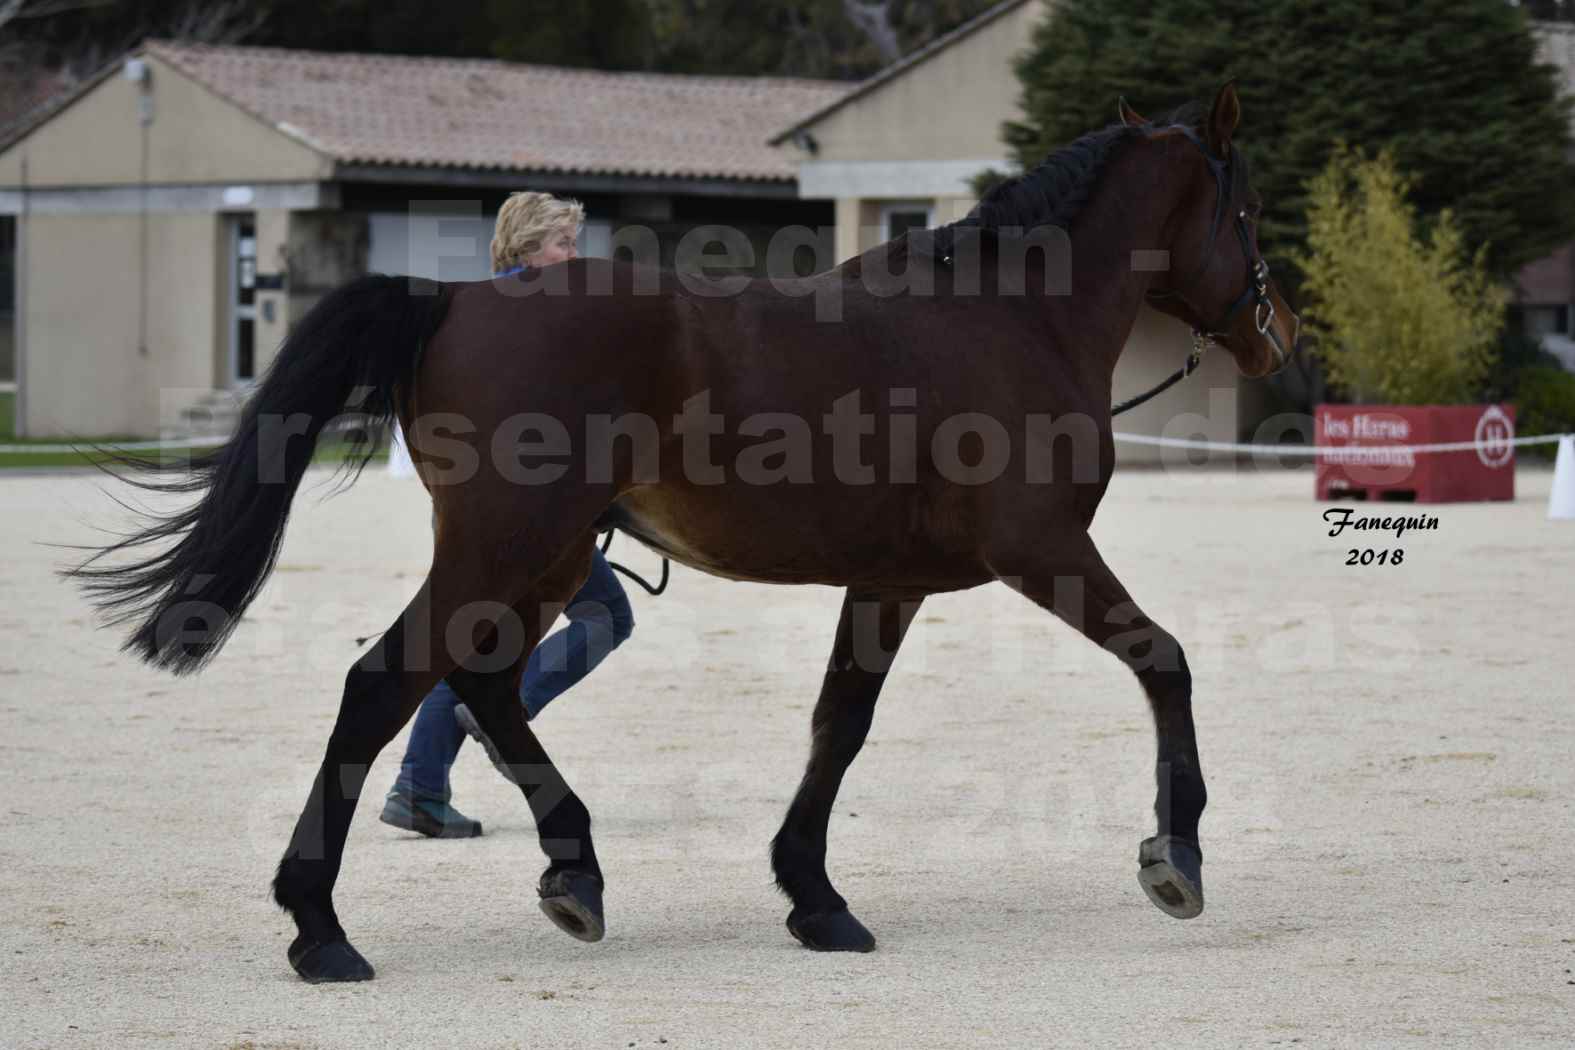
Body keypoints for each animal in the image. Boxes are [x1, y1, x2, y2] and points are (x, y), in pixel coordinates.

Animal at [70, 84, 1304, 988]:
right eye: (1247, 213)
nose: (1278, 334)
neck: (1012, 319)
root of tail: (458, 296)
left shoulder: (889, 584)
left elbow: (838, 728)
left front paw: (815, 898)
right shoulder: (1040, 551)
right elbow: (1164, 661)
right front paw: (1176, 855)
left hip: (547, 557)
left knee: (481, 687)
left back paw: (572, 875)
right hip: (507, 549)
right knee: (387, 685)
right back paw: (321, 929)